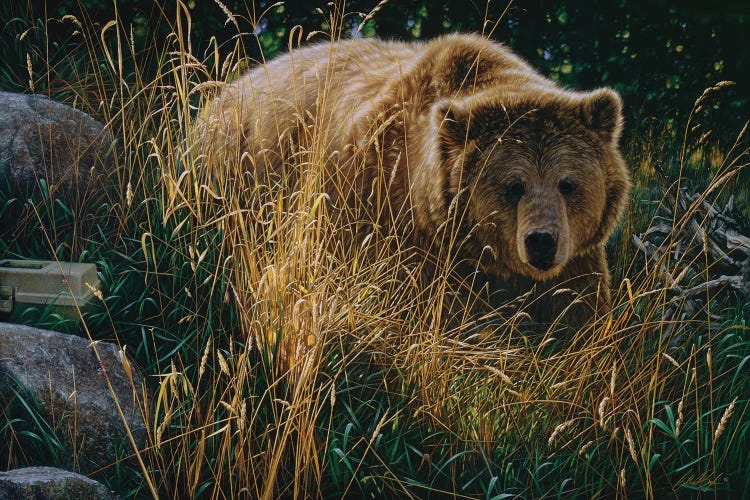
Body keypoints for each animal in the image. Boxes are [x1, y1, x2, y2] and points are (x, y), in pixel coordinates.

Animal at [197, 34, 632, 324]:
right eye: (514, 186)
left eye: (568, 183)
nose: (541, 241)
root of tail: (220, 95)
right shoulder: (392, 222)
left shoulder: (577, 260)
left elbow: (578, 317)